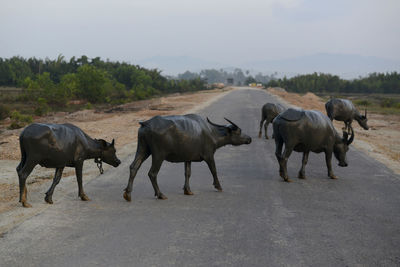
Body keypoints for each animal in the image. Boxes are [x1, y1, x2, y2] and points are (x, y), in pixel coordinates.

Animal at [123, 114, 252, 202]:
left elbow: (187, 173)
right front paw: (218, 186)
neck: (211, 133)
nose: (249, 139)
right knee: (152, 173)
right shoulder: (209, 156)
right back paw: (160, 194)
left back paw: (128, 194)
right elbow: (214, 170)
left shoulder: (188, 158)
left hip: (143, 149)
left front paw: (187, 190)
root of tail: (146, 123)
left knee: (133, 167)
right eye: (239, 131)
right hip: (158, 155)